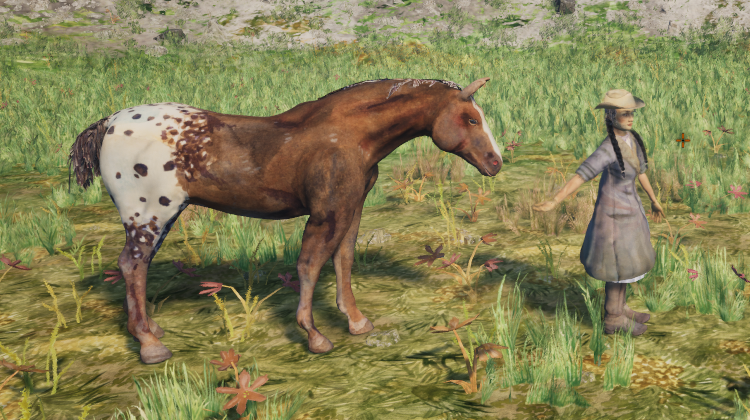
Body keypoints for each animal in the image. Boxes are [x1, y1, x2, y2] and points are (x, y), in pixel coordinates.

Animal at [68, 77, 502, 364]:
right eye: (470, 118)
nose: (496, 163)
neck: (348, 134)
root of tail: (109, 123)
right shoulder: (327, 212)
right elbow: (309, 265)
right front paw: (314, 336)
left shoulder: (352, 208)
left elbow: (343, 261)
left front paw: (356, 322)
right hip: (150, 214)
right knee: (132, 264)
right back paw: (149, 345)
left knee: (137, 268)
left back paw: (152, 330)